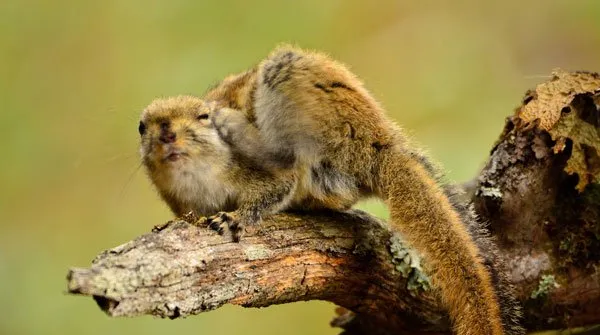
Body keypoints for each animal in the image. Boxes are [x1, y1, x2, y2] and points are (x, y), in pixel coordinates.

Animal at [138, 45, 524, 335]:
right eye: (143, 127)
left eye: (201, 117)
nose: (167, 133)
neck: (200, 179)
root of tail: (379, 143)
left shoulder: (261, 175)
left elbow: (275, 186)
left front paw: (238, 218)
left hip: (304, 94)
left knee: (289, 155)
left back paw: (237, 127)